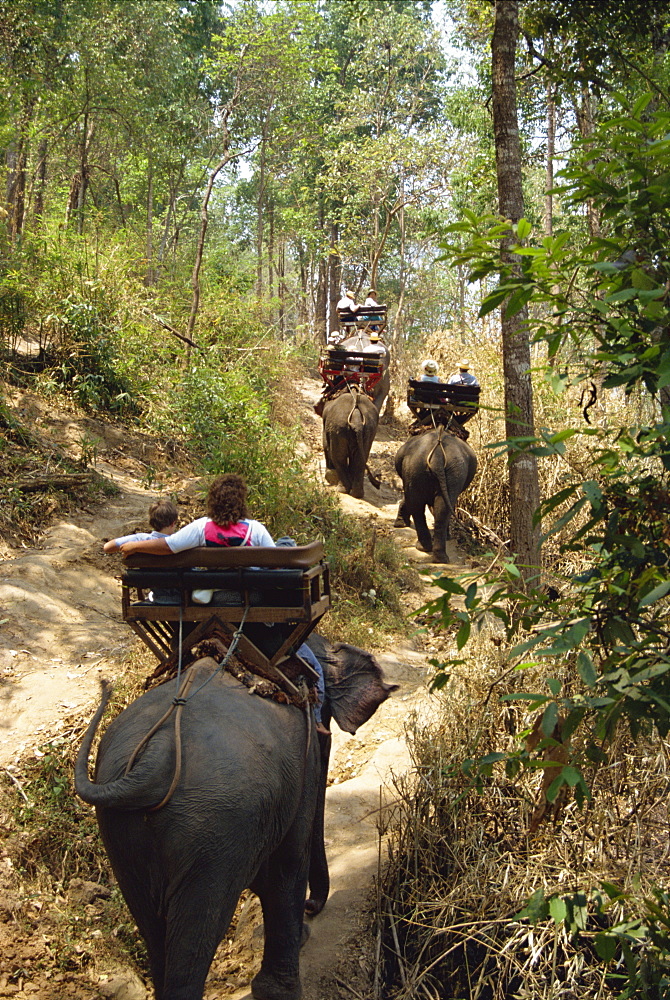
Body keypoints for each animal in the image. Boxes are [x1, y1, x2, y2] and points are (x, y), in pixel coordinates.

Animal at [75, 632, 400, 1000]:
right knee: (200, 924)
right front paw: (281, 987)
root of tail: (155, 758)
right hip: (211, 828)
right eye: (325, 729)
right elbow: (288, 864)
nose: (311, 908)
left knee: (151, 923)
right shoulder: (301, 766)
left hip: (123, 830)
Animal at [396, 424, 480, 560]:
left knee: (419, 505)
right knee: (435, 507)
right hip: (448, 471)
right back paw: (437, 555)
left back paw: (429, 551)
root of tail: (438, 456)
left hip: (417, 467)